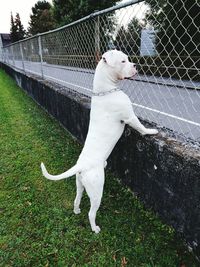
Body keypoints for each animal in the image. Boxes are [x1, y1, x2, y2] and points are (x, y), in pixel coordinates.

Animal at [41, 50, 159, 234]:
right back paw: (95, 228)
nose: (135, 65)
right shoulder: (130, 117)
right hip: (97, 191)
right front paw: (151, 131)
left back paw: (76, 210)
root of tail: (81, 166)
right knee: (91, 212)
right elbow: (141, 127)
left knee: (77, 198)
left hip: (80, 185)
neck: (106, 90)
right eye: (123, 61)